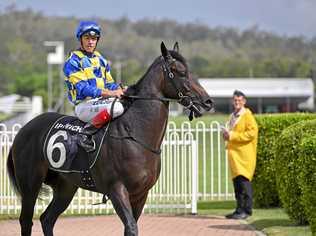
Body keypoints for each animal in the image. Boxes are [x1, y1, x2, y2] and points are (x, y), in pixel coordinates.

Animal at [6, 41, 212, 235]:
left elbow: (131, 226)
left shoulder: (141, 194)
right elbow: (131, 227)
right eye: (180, 72)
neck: (134, 135)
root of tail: (23, 130)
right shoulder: (117, 190)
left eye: (189, 70)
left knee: (47, 219)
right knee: (26, 221)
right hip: (30, 184)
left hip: (66, 186)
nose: (207, 102)